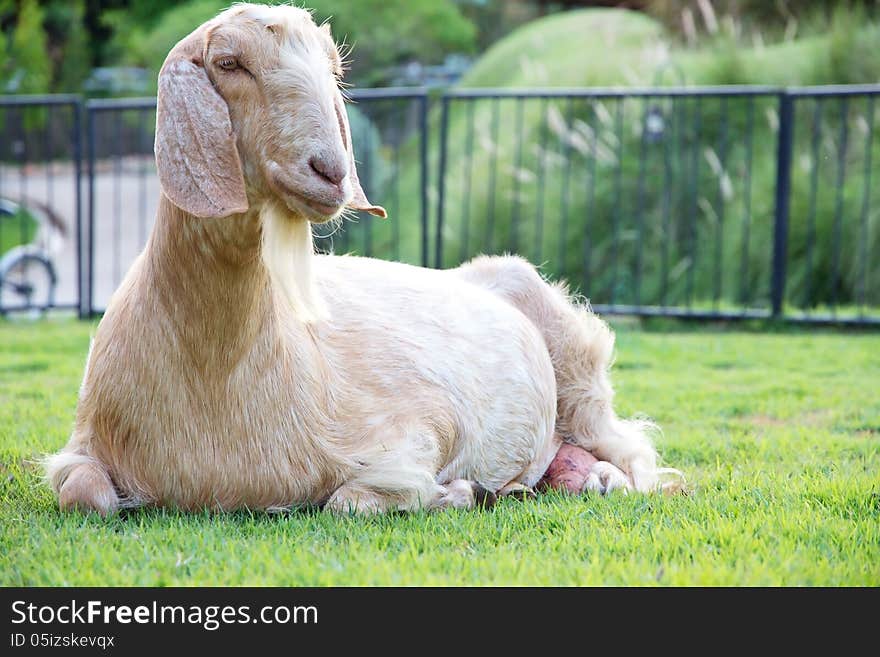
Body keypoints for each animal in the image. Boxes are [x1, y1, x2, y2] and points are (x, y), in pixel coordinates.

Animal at [43, 5, 680, 516]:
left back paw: (600, 481)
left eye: (334, 72)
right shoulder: (83, 445)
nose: (331, 171)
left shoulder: (416, 430)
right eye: (228, 63)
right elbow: (87, 496)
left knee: (633, 452)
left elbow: (348, 501)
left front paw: (457, 491)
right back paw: (562, 481)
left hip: (579, 370)